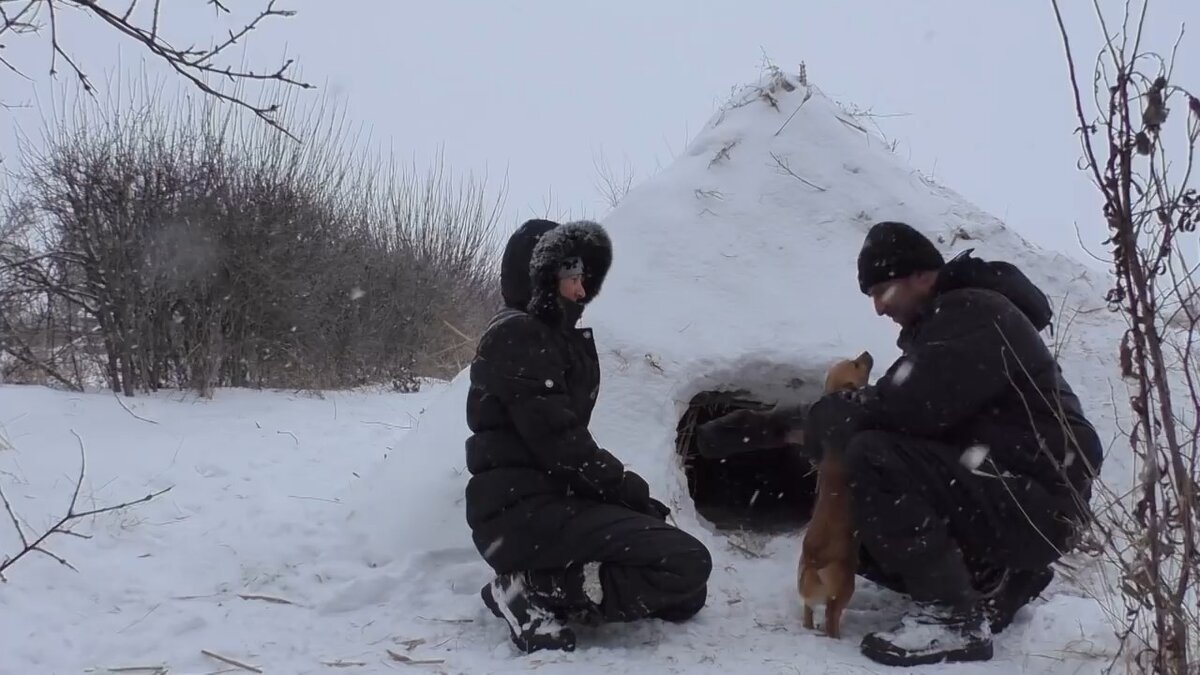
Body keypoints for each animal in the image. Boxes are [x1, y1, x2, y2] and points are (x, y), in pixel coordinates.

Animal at [796, 348, 873, 638]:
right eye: (856, 364)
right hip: (844, 589)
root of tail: (815, 562)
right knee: (831, 617)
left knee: (808, 610)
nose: (867, 352)